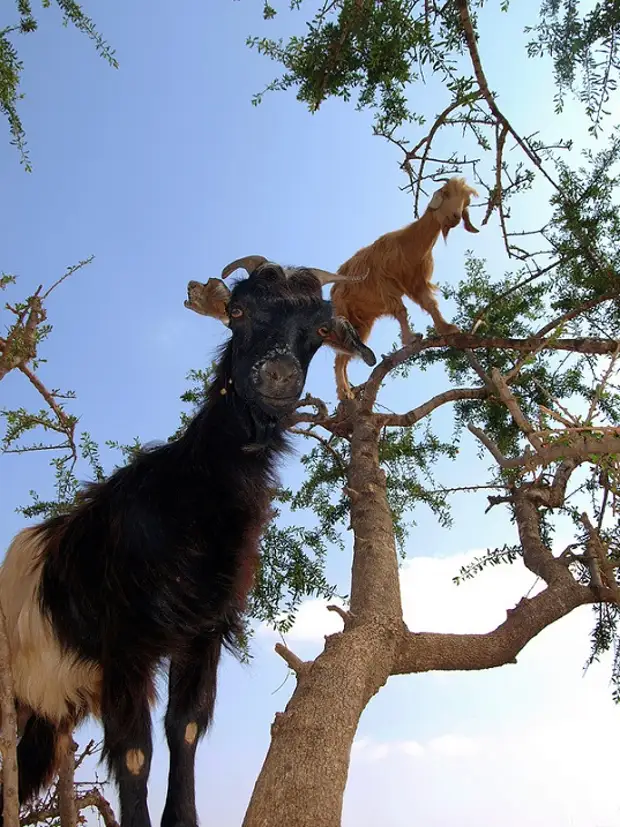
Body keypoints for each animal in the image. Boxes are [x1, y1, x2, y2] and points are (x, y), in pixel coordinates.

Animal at [0, 258, 378, 827]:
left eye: (317, 327)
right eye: (238, 311)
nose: (278, 375)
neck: (189, 497)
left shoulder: (203, 632)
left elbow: (186, 731)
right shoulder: (124, 641)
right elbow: (135, 753)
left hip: (43, 707)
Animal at [330, 178, 480, 402]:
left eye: (466, 202)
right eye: (445, 193)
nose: (455, 217)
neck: (408, 243)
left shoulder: (416, 283)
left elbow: (430, 304)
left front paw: (446, 328)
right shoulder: (385, 282)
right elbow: (400, 310)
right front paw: (410, 339)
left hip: (362, 323)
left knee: (345, 354)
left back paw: (347, 392)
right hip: (344, 312)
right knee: (339, 359)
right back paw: (344, 392)